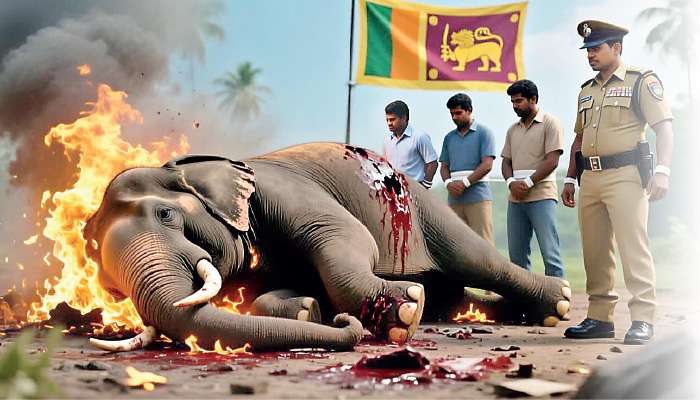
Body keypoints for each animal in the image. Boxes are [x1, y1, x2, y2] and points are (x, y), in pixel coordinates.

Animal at [83, 143, 571, 353]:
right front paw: (306, 310)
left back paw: (558, 304)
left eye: (165, 215)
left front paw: (403, 313)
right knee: (452, 295)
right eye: (110, 286)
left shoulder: (284, 192)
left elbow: (346, 237)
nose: (340, 320)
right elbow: (263, 296)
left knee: (475, 260)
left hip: (425, 209)